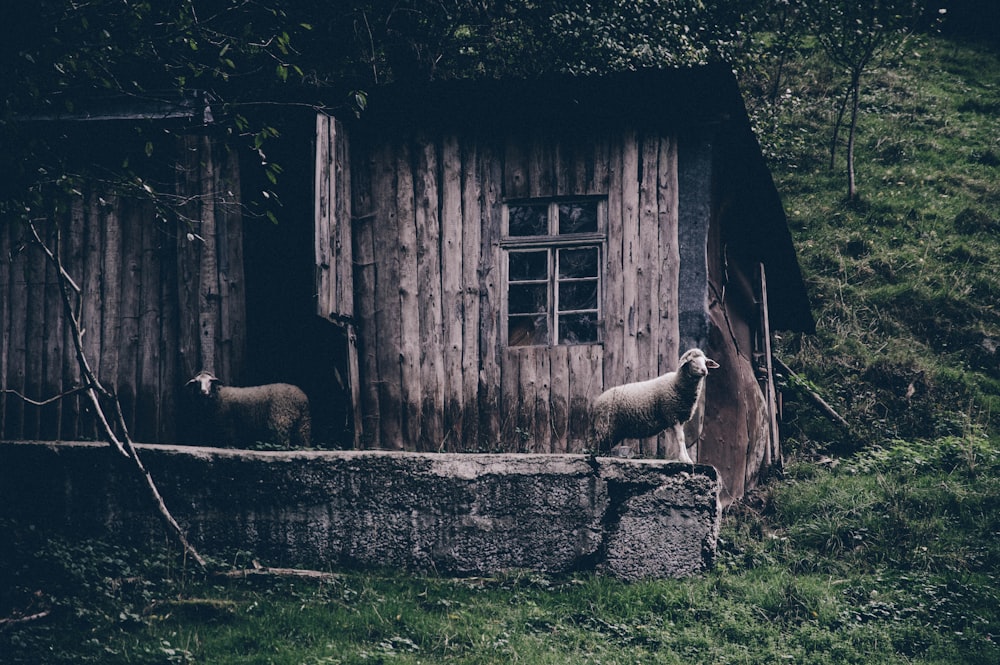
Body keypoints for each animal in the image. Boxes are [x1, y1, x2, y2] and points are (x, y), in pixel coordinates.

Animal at [584, 348, 720, 462]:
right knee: (594, 443)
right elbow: (681, 438)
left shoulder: (679, 417)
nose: (705, 371)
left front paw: (686, 458)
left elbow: (682, 439)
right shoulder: (672, 415)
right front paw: (684, 459)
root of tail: (596, 403)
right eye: (692, 361)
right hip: (605, 424)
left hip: (612, 429)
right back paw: (595, 455)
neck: (677, 384)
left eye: (705, 361)